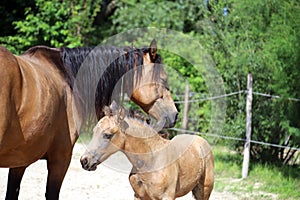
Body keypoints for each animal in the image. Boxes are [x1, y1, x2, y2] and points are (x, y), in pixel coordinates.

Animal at [81, 104, 214, 199]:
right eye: (94, 131)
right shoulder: (139, 196)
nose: (84, 161)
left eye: (107, 135)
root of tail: (201, 141)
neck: (151, 160)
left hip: (205, 189)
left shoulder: (167, 197)